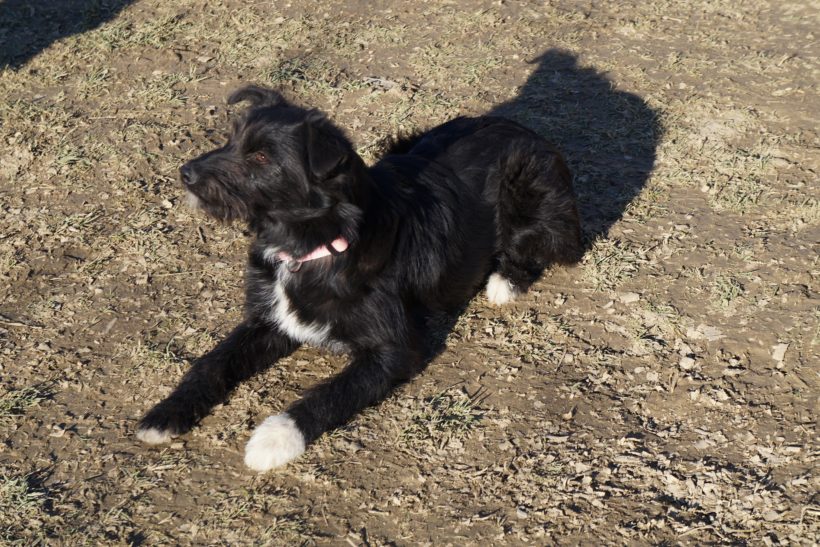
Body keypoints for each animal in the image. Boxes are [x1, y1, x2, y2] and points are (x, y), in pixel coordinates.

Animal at [136, 85, 582, 471]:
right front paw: (167, 412)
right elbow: (212, 362)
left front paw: (274, 438)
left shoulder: (394, 350)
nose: (186, 173)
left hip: (530, 189)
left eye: (261, 158)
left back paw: (504, 282)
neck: (312, 244)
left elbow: (331, 393)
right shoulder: (268, 320)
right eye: (231, 141)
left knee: (539, 243)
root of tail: (522, 128)